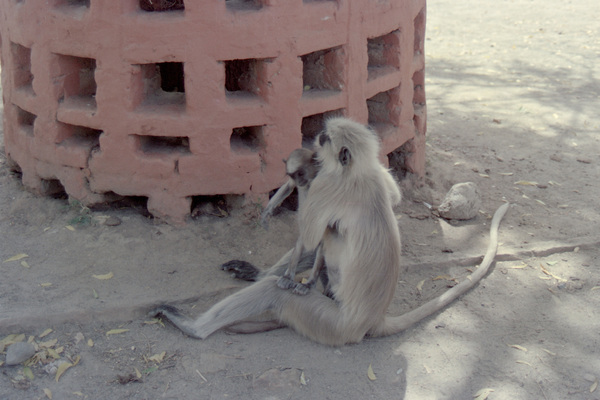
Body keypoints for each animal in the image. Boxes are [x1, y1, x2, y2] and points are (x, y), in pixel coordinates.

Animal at [151, 117, 510, 346]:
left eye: (324, 139)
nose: (315, 135)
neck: (352, 175)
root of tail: (370, 322)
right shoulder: (373, 176)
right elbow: (392, 196)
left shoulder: (327, 186)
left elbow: (311, 233)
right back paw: (260, 274)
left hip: (329, 322)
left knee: (283, 283)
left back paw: (194, 327)